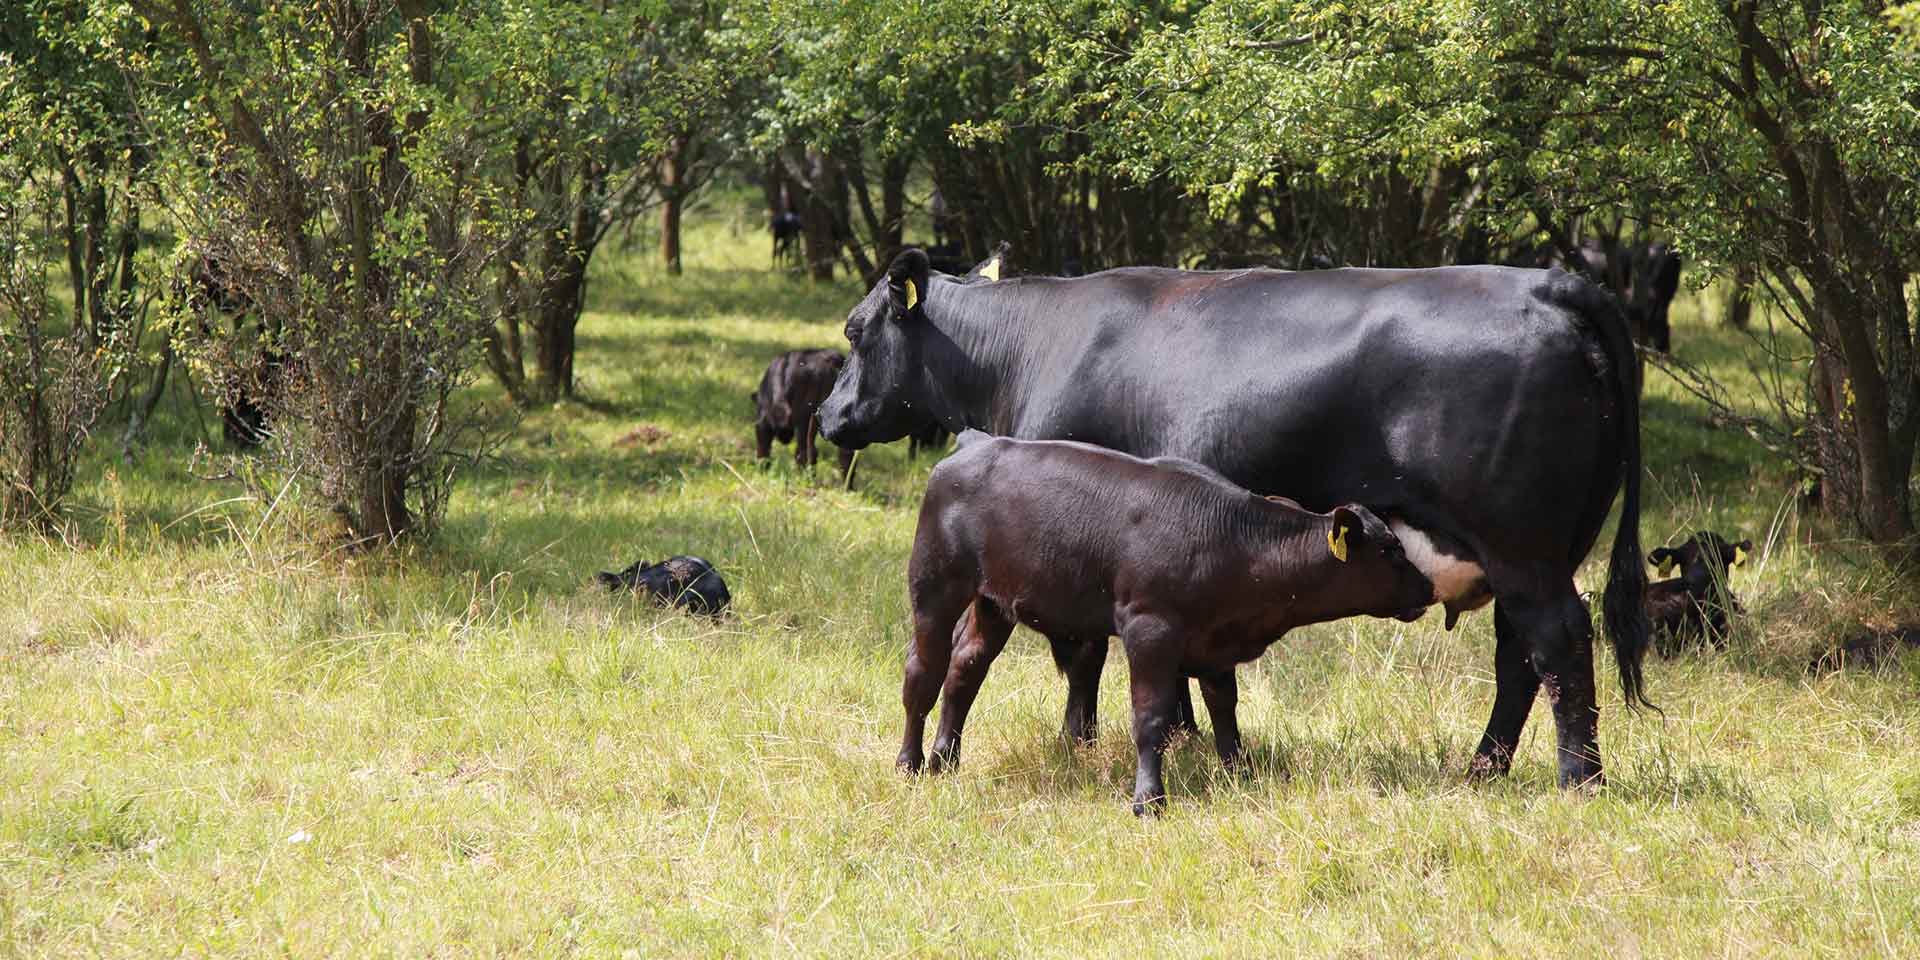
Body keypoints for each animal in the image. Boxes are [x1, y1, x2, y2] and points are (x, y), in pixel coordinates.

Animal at [748, 349, 856, 480]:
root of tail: (831, 359)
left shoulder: (763, 422)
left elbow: (762, 450)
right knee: (846, 455)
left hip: (803, 419)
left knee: (805, 452)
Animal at [894, 432, 1428, 814]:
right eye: (1390, 549)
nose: (1428, 588)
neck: (1233, 543)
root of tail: (976, 442)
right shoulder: (1149, 630)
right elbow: (1151, 717)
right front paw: (1149, 799)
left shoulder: (1216, 644)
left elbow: (1225, 711)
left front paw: (1238, 773)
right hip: (934, 586)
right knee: (923, 673)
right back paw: (910, 764)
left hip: (993, 602)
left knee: (965, 668)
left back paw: (945, 759)